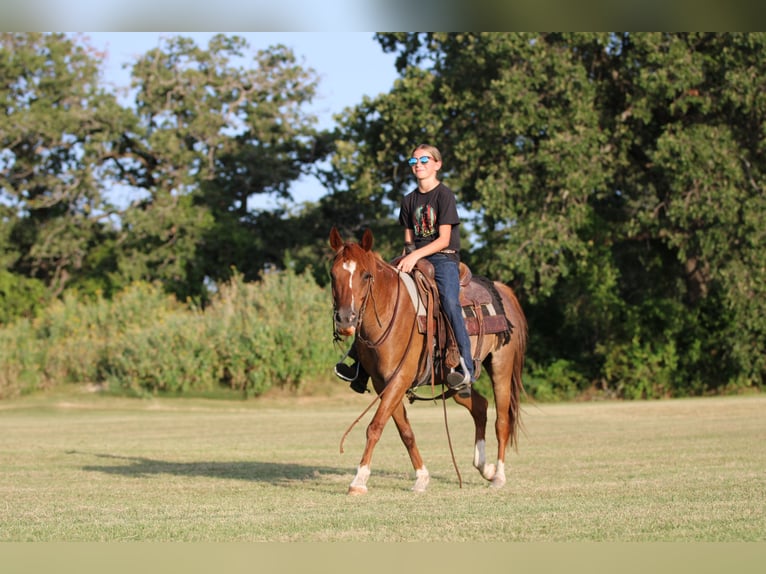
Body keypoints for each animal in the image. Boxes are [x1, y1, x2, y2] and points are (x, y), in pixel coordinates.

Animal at [329, 226, 527, 494]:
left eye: (366, 275)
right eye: (333, 274)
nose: (345, 320)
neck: (391, 310)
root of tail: (503, 291)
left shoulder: (399, 379)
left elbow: (375, 426)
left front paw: (359, 480)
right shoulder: (384, 384)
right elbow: (405, 431)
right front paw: (422, 477)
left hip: (501, 367)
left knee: (502, 420)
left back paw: (498, 476)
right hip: (457, 383)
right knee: (480, 406)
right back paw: (484, 467)